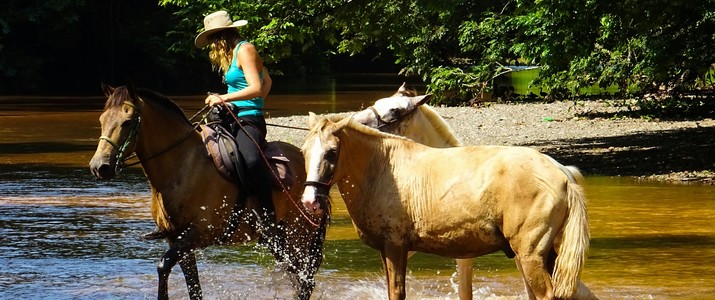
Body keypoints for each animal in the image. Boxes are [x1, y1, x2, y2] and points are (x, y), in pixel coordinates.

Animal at [87, 84, 330, 300]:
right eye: (101, 121)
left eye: (127, 122)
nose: (99, 167)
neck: (182, 165)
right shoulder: (176, 239)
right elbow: (193, 287)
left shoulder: (198, 233)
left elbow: (163, 266)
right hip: (278, 240)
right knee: (298, 278)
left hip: (299, 236)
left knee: (305, 280)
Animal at [302, 113, 600, 300]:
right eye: (304, 151)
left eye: (332, 152)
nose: (309, 200)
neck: (384, 169)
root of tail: (562, 173)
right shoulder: (391, 252)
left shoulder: (395, 247)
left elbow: (397, 293)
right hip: (548, 254)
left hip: (530, 255)